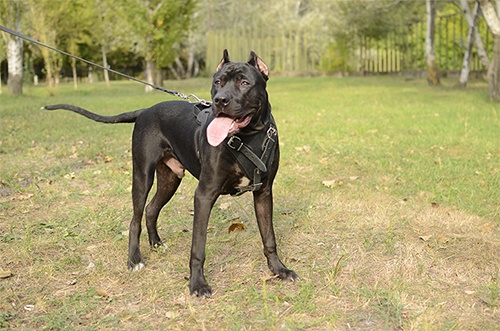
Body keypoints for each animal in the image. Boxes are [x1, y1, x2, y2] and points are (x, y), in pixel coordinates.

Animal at [43, 50, 298, 296]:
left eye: (245, 83)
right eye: (217, 82)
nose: (220, 100)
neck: (248, 137)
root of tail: (145, 110)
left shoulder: (264, 193)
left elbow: (269, 237)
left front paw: (279, 269)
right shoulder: (204, 194)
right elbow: (198, 247)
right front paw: (197, 284)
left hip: (170, 179)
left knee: (151, 209)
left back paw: (156, 244)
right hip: (142, 175)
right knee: (135, 218)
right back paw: (134, 259)